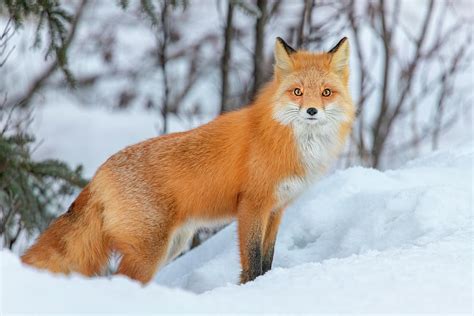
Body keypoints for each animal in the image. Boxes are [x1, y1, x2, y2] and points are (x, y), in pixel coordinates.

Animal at [22, 37, 356, 284]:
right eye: (297, 92)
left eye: (326, 93)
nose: (311, 111)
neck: (288, 139)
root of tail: (98, 174)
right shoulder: (252, 206)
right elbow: (252, 262)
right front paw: (251, 291)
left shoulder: (276, 209)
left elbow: (267, 260)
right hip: (150, 251)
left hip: (172, 245)